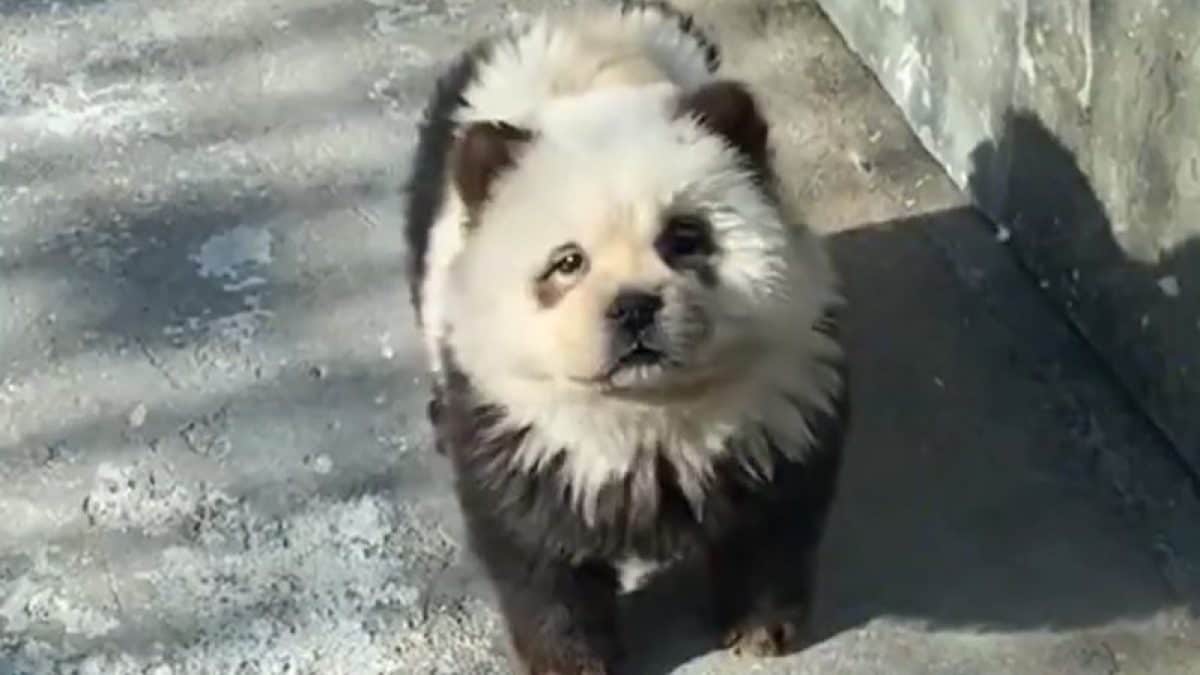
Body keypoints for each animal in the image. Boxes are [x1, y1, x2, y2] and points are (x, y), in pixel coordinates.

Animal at [402, 2, 850, 673]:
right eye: (567, 263)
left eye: (684, 237)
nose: (634, 308)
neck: (648, 410)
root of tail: (584, 21)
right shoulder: (521, 425)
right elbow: (536, 552)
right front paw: (571, 659)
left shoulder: (781, 391)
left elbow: (774, 514)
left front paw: (760, 627)